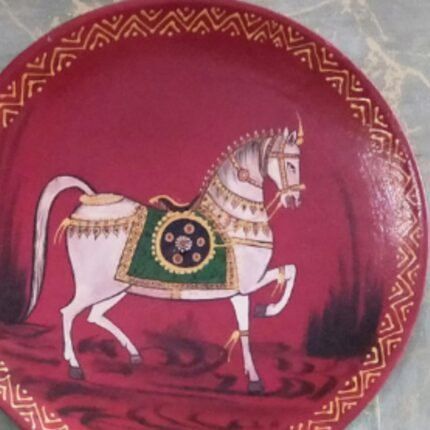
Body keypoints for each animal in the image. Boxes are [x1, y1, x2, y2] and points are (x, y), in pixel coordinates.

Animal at [26, 122, 305, 394]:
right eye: (291, 164)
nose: (294, 200)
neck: (229, 218)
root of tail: (90, 201)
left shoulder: (240, 292)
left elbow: (250, 323)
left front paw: (255, 372)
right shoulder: (249, 283)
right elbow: (289, 273)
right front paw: (266, 312)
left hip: (117, 287)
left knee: (93, 315)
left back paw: (133, 353)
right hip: (95, 286)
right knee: (67, 312)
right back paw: (75, 366)